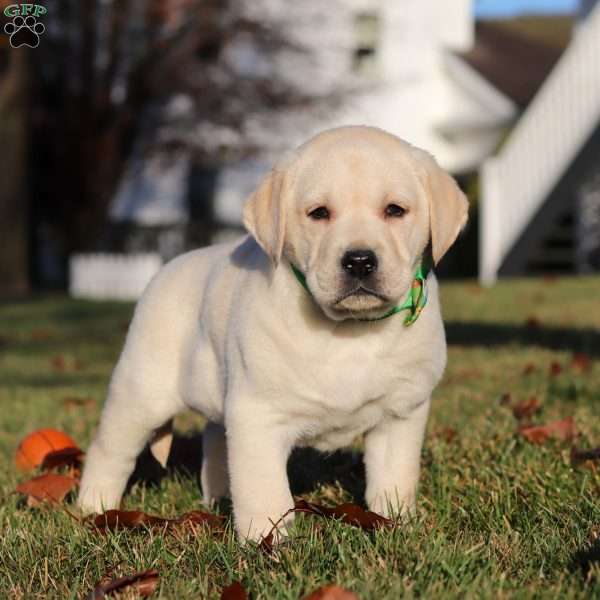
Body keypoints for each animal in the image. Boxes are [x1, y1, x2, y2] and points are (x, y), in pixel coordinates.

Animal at [76, 125, 468, 540]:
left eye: (395, 210)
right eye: (319, 213)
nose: (360, 261)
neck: (347, 330)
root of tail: (165, 270)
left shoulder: (401, 413)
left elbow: (394, 477)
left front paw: (396, 522)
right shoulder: (258, 414)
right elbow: (264, 487)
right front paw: (267, 539)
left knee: (215, 441)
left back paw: (217, 497)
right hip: (140, 393)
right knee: (111, 450)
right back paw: (94, 507)